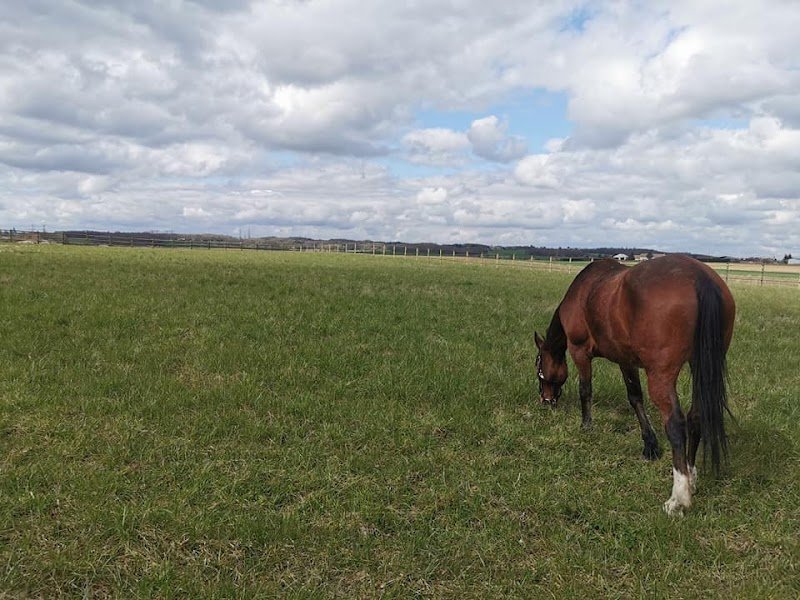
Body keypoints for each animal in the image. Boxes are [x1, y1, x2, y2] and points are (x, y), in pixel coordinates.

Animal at [534, 254, 735, 515]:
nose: (546, 400)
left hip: (660, 376)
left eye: (539, 365)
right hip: (700, 364)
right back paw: (690, 478)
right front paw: (650, 445)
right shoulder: (625, 360)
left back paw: (678, 497)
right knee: (696, 417)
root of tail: (698, 275)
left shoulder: (580, 352)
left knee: (676, 423)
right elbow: (635, 397)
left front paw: (586, 425)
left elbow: (585, 390)